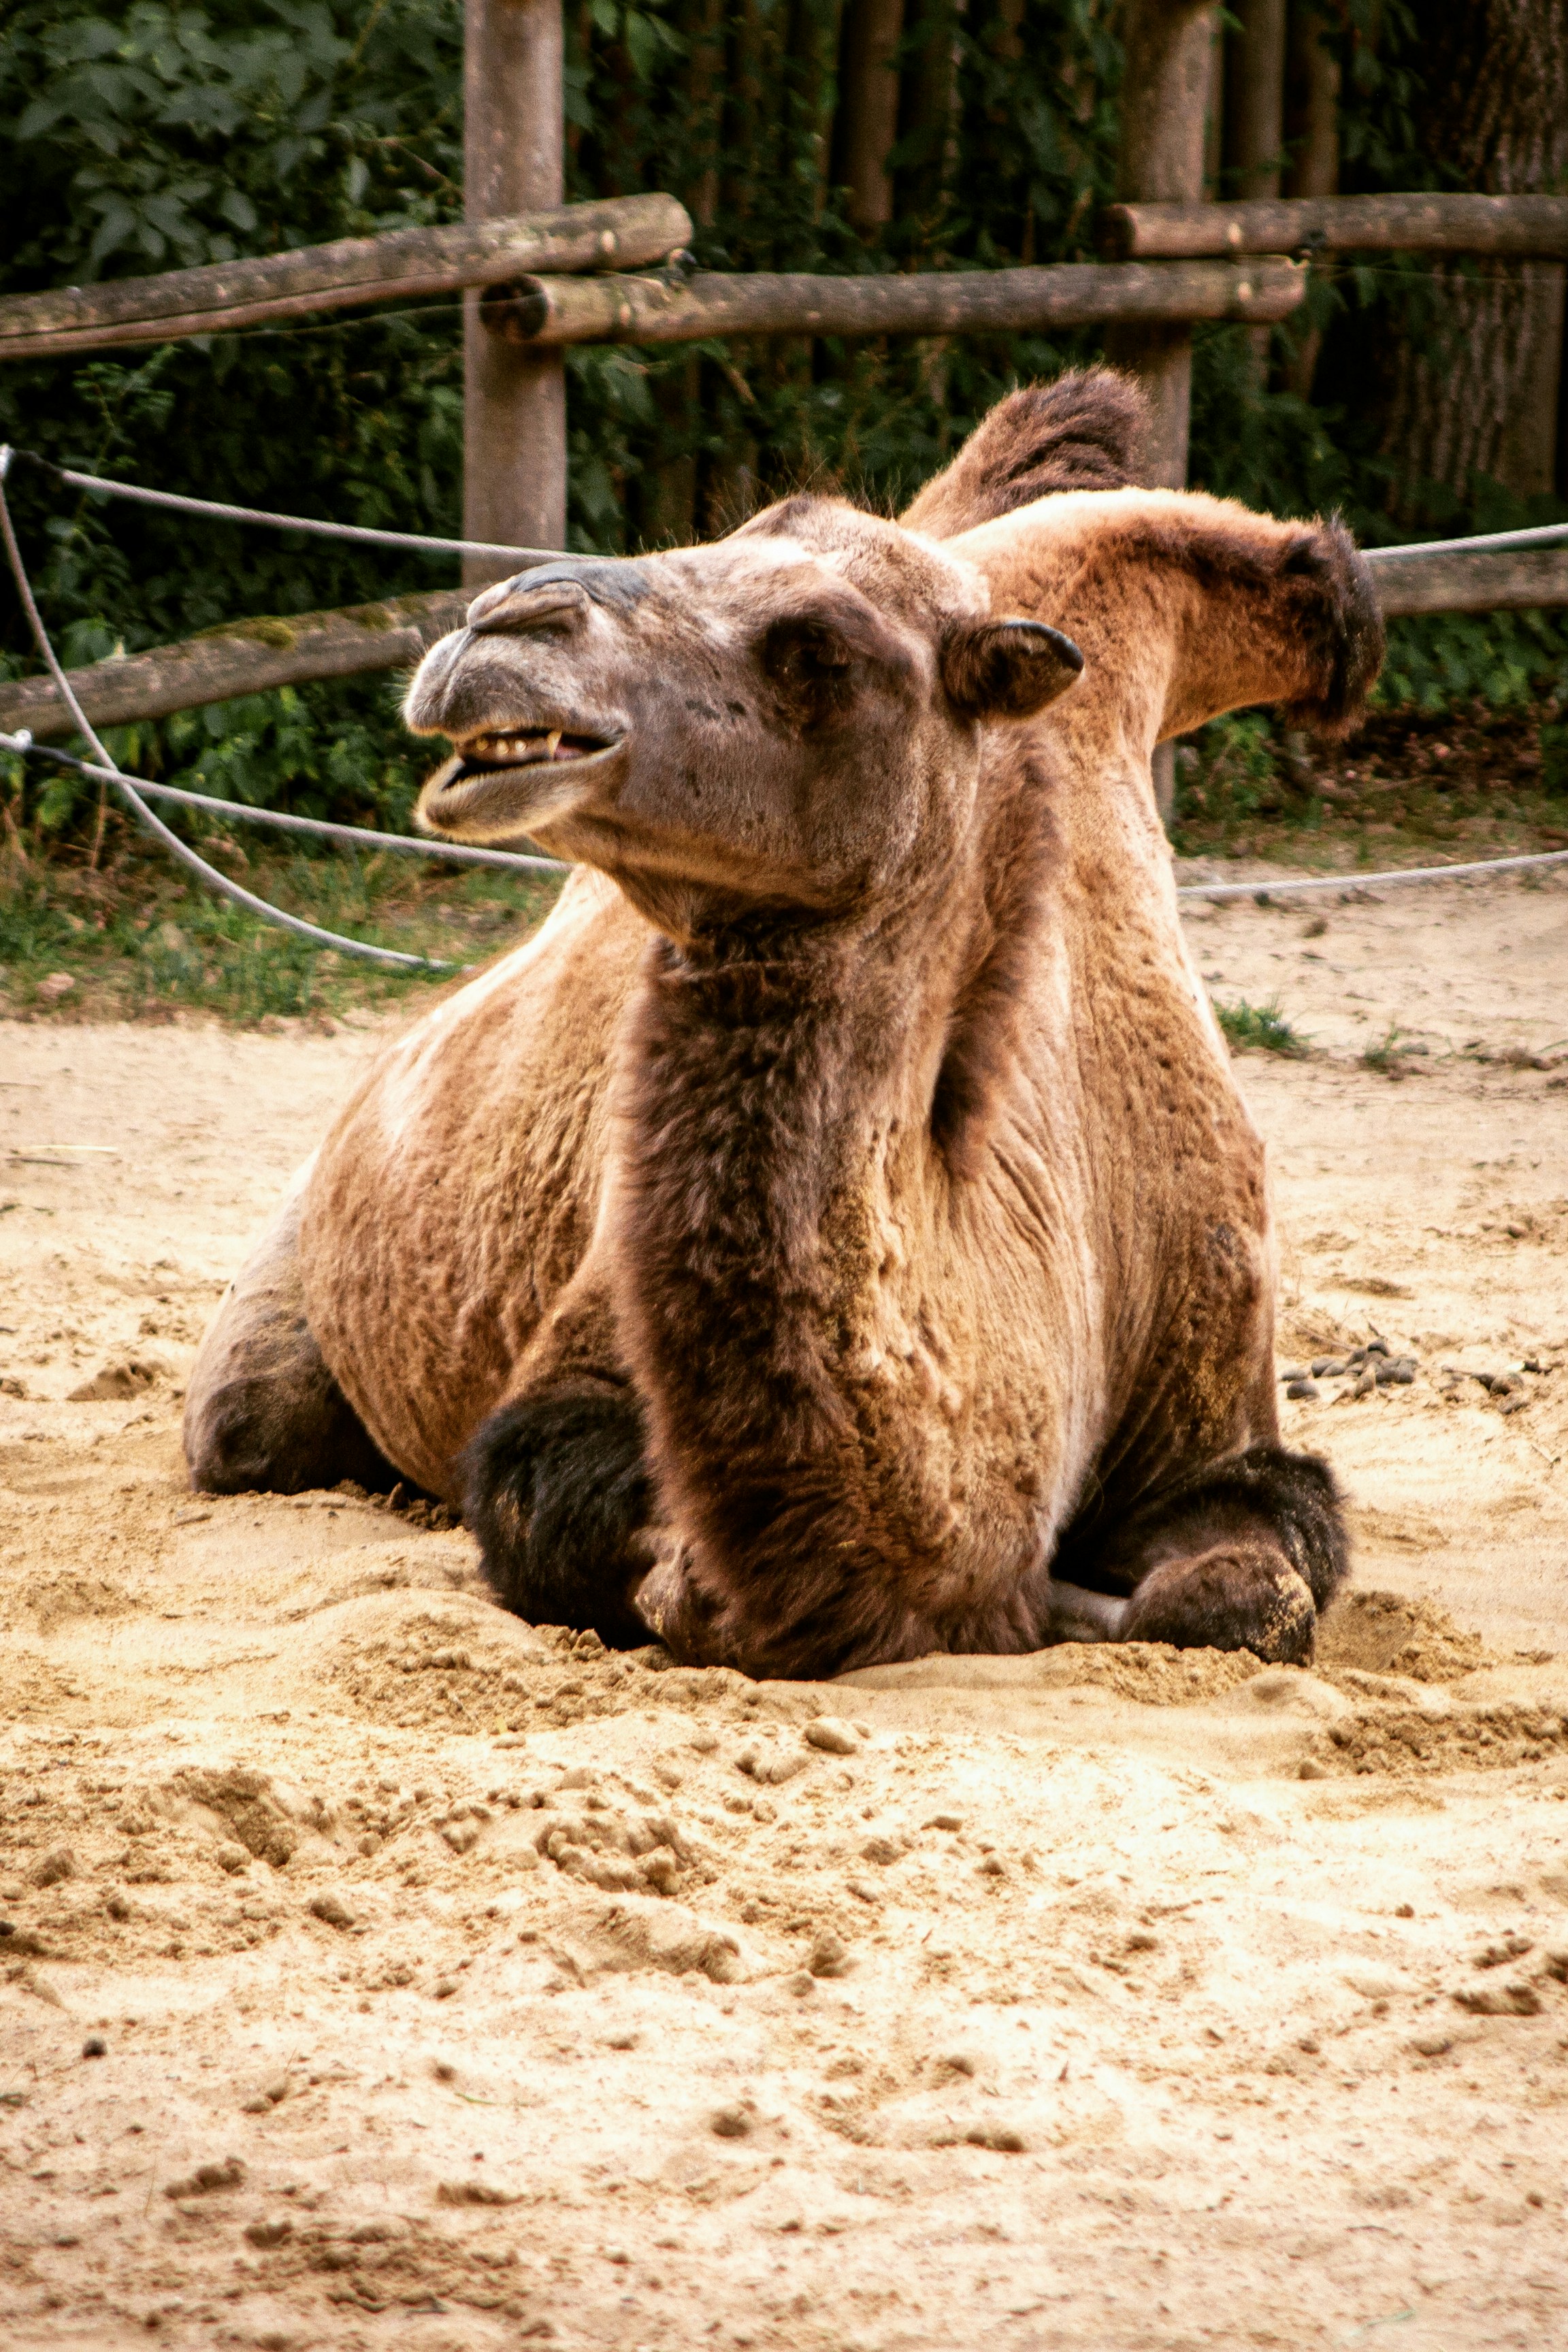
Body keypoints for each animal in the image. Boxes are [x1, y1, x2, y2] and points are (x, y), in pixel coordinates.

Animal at [184, 370, 1382, 1679]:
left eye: (819, 650)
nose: (501, 628)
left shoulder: (1222, 1404)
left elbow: (1240, 1595)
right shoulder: (579, 1366)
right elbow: (565, 1504)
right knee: (245, 1424)